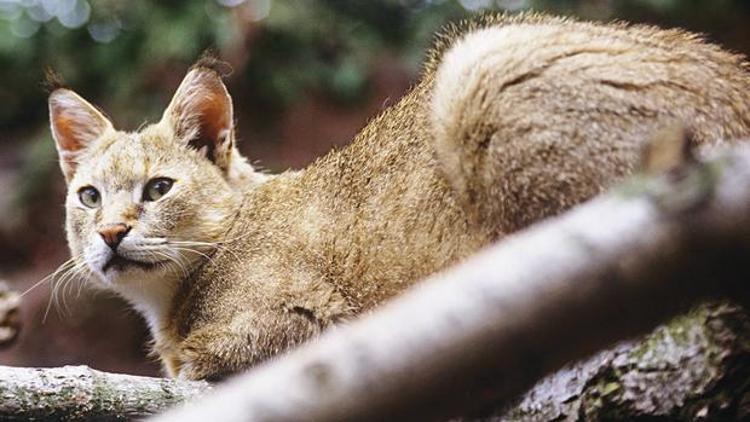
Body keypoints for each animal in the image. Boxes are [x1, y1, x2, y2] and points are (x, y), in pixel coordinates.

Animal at [48, 14, 750, 382]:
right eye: (89, 197)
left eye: (158, 187)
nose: (110, 233)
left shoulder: (309, 318)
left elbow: (199, 364)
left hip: (476, 66)